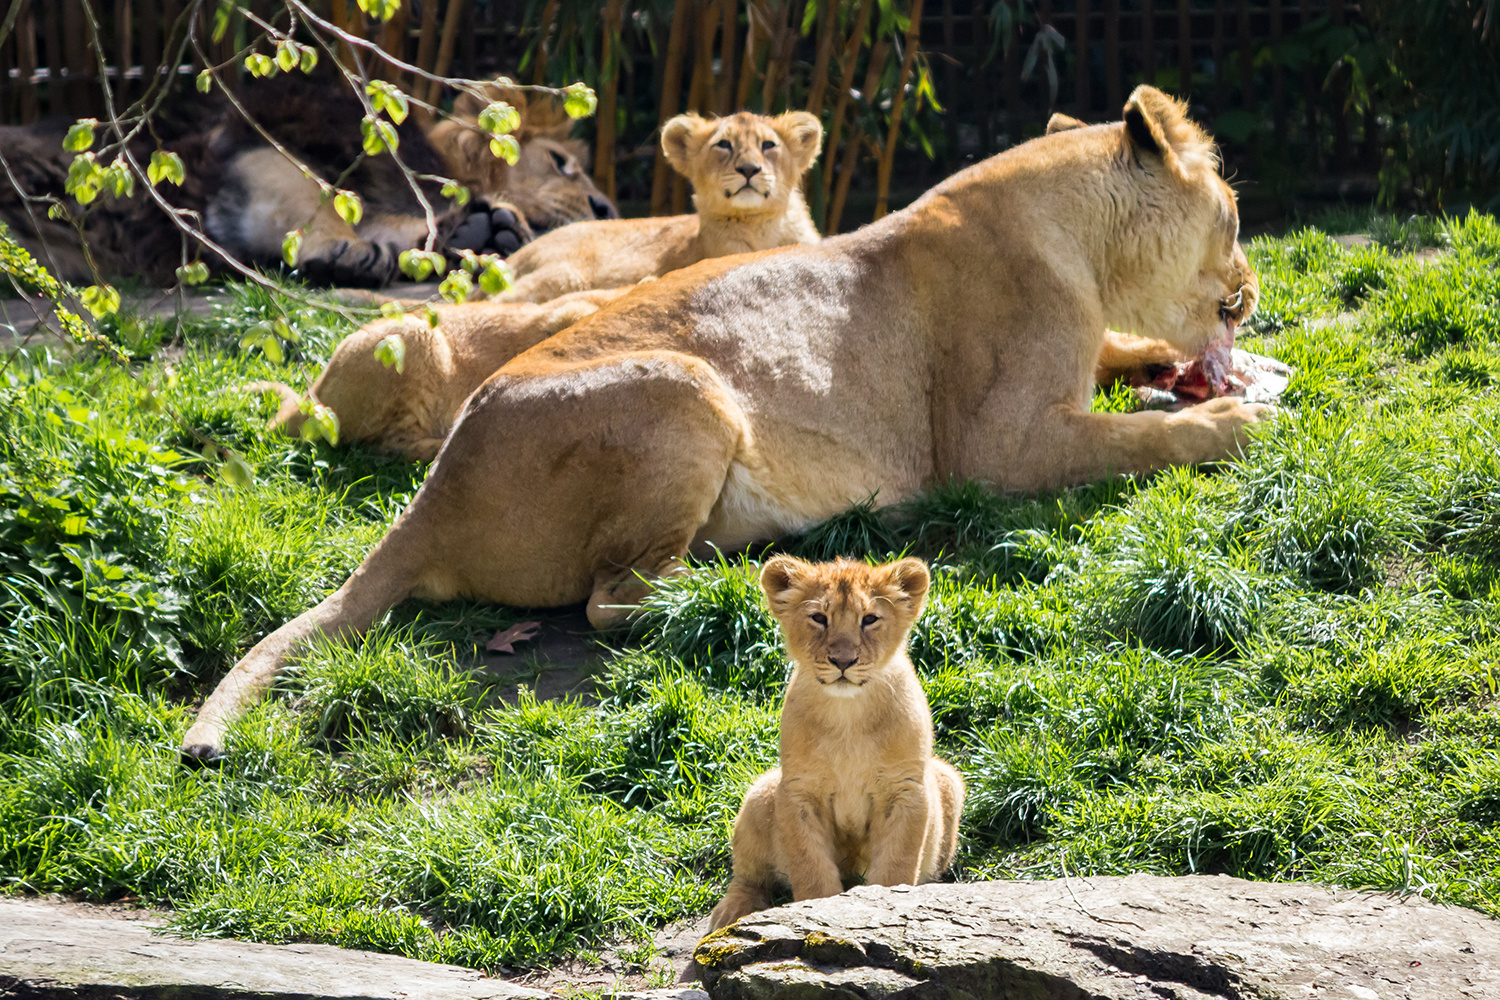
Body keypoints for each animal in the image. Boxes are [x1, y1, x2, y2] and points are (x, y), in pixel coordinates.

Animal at [708, 556, 964, 931]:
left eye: (869, 619)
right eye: (819, 618)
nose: (843, 661)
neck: (848, 715)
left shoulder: (904, 789)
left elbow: (895, 867)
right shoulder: (799, 790)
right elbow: (810, 868)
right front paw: (818, 916)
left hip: (948, 780)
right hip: (760, 795)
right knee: (748, 877)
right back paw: (730, 913)